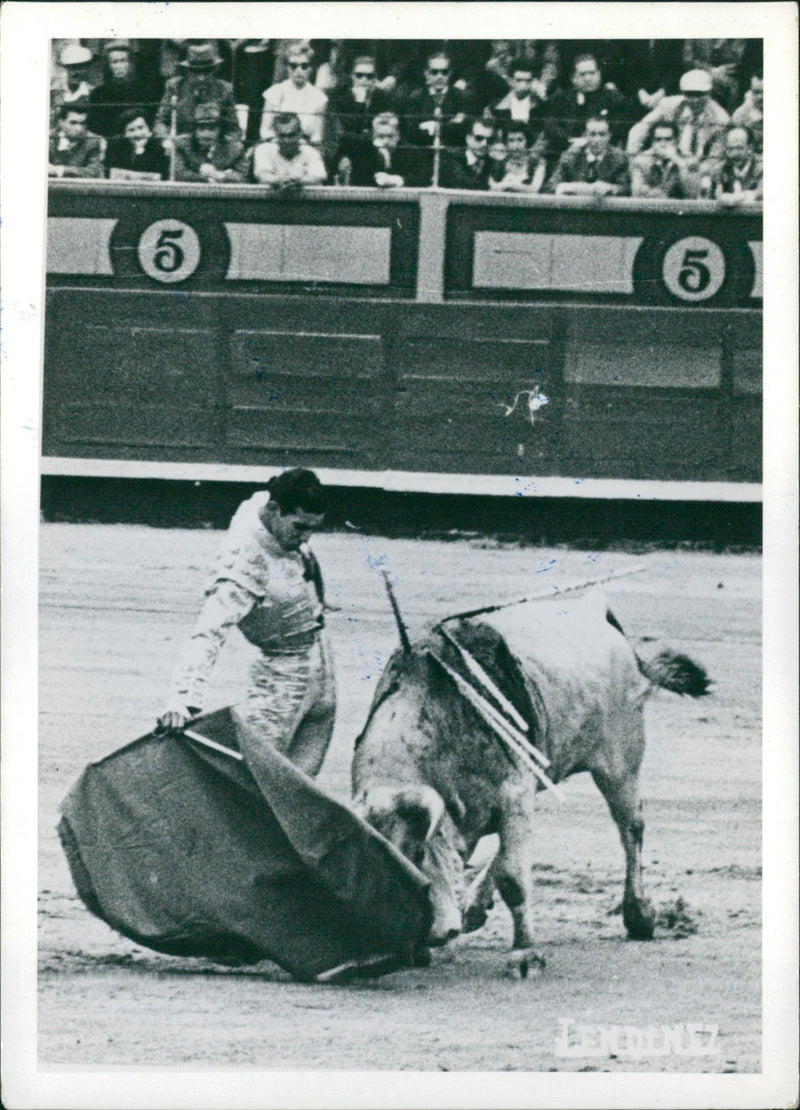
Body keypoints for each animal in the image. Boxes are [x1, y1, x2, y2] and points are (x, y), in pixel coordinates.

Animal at [352, 594, 710, 976]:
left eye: (418, 853)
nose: (431, 933)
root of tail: (596, 608)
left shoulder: (513, 795)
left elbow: (512, 877)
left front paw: (525, 955)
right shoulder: (495, 804)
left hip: (620, 767)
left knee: (631, 828)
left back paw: (638, 914)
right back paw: (473, 907)